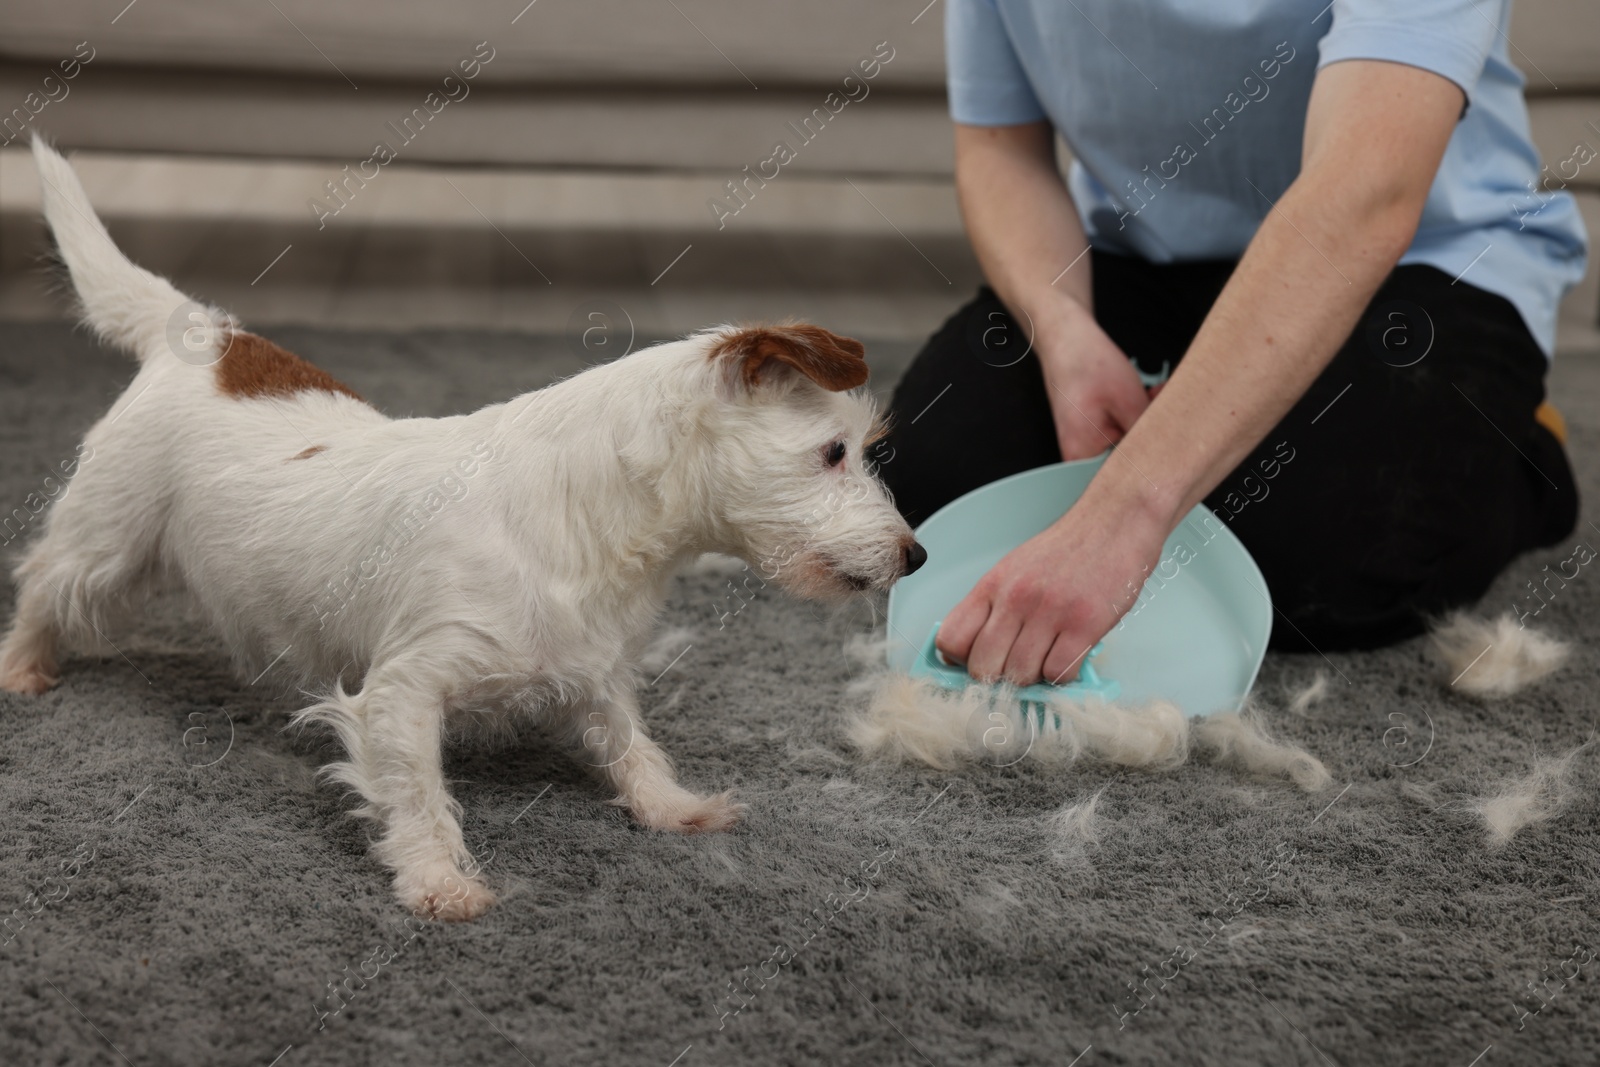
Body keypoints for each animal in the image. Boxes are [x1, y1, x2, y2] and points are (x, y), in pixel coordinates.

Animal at [0, 137, 928, 921]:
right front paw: (440, 880)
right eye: (834, 450)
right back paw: (22, 668)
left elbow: (629, 740)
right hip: (104, 542)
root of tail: (207, 337)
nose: (915, 553)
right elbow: (419, 793)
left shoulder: (595, 669)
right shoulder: (405, 688)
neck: (596, 520)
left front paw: (672, 807)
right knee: (42, 584)